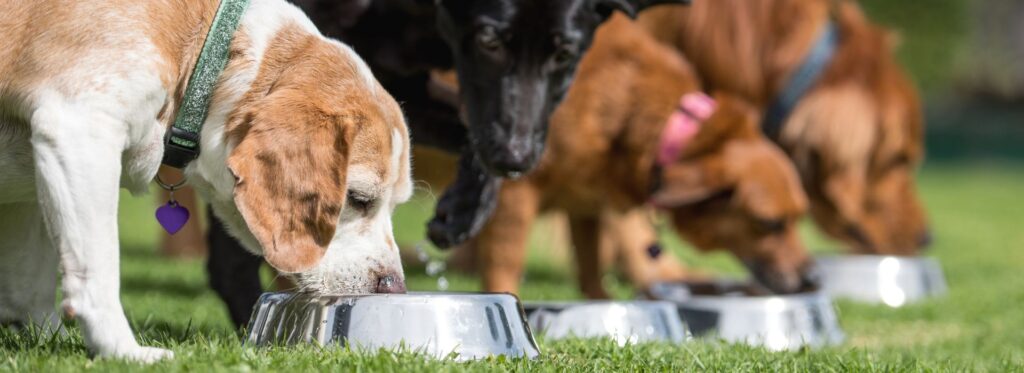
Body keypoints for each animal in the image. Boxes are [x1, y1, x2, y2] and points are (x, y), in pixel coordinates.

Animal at [0, 0, 411, 360]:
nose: (395, 287)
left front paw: (48, 338)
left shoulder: (33, 185)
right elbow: (97, 270)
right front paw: (121, 351)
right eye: (358, 198)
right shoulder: (79, 129)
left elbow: (31, 284)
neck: (209, 50)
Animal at [206, 0, 688, 325]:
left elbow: (468, 135)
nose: (516, 157)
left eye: (565, 53)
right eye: (490, 41)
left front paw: (462, 211)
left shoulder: (399, 88)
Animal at [471, 16, 815, 297]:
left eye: (799, 216)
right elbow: (506, 265)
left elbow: (590, 265)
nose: (812, 279)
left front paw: (602, 306)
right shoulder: (515, 192)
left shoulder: (584, 202)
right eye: (770, 223)